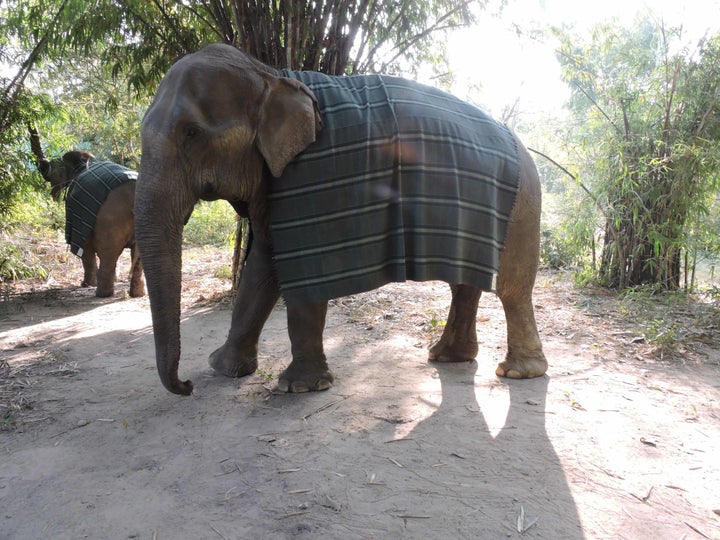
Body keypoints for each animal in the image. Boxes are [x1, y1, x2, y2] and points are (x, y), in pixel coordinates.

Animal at [41, 150, 146, 298]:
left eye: (56, 174)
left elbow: (85, 248)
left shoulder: (78, 215)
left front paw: (86, 285)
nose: (53, 195)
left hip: (110, 218)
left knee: (108, 254)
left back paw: (102, 294)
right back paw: (137, 294)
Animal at [138, 43, 548, 396]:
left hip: (523, 204)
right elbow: (265, 262)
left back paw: (518, 372)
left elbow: (305, 267)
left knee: (511, 286)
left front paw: (298, 388)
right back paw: (447, 356)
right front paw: (224, 368)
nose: (186, 385)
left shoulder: (312, 179)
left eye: (191, 133)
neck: (271, 74)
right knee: (464, 281)